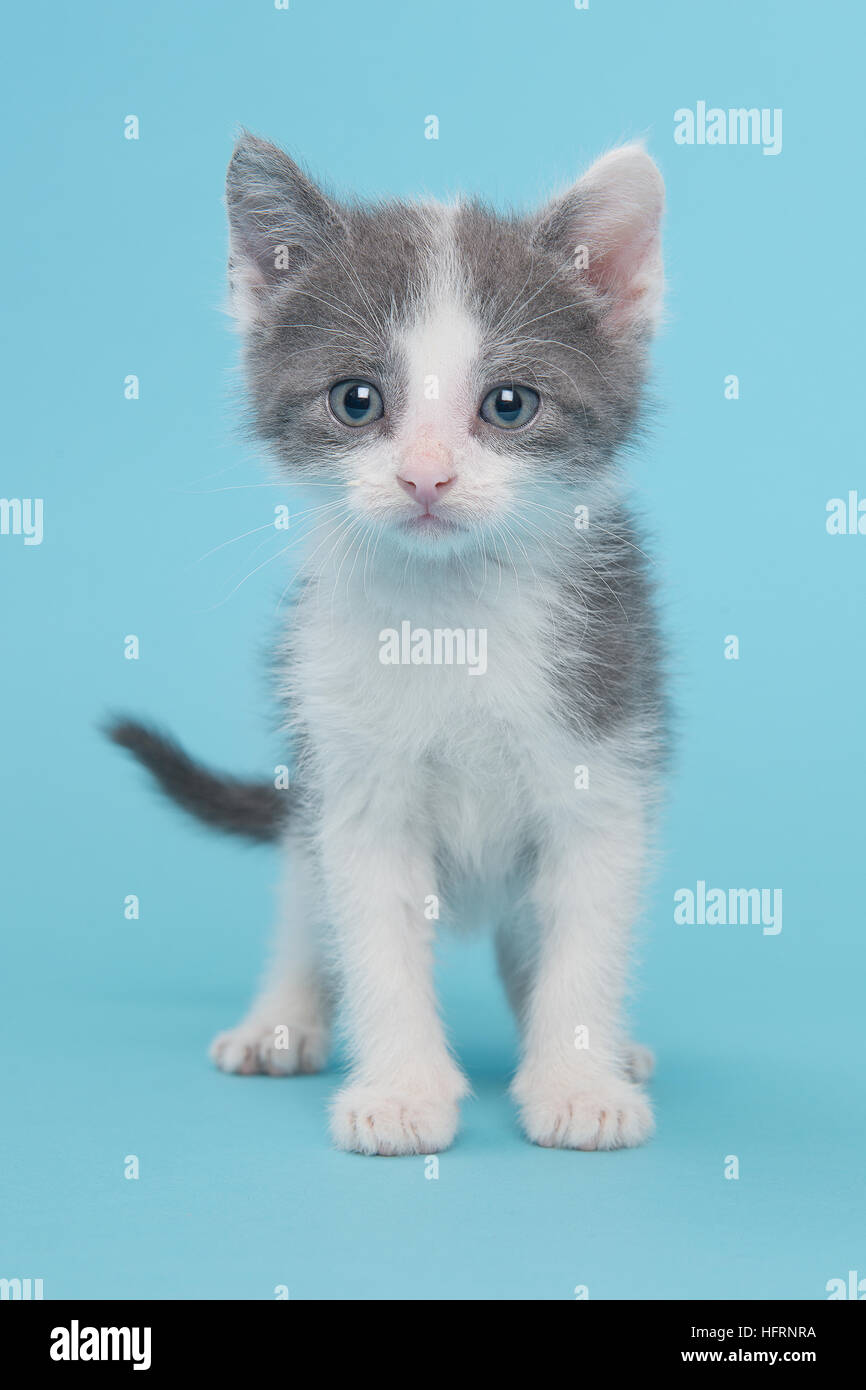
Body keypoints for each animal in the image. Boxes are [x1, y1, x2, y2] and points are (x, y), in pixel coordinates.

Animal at [111, 127, 667, 1150]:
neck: (451, 624)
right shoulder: (352, 774)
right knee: (305, 896)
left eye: (510, 405)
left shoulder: (606, 746)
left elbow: (587, 925)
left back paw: (611, 1048)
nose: (425, 477)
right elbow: (369, 928)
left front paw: (578, 1081)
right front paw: (403, 1090)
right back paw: (281, 1019)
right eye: (357, 400)